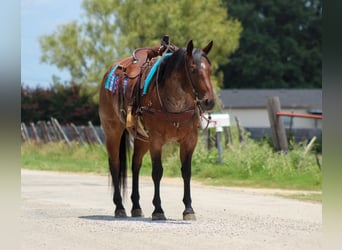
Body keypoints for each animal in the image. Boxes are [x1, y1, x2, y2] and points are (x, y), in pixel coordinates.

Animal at [99, 39, 215, 221]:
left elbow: (186, 172)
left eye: (209, 69)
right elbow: (157, 172)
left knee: (135, 166)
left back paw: (136, 207)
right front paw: (158, 209)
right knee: (115, 165)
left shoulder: (190, 140)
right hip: (113, 132)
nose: (209, 101)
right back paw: (119, 207)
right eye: (193, 70)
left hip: (141, 139)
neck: (175, 102)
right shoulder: (156, 140)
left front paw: (188, 209)